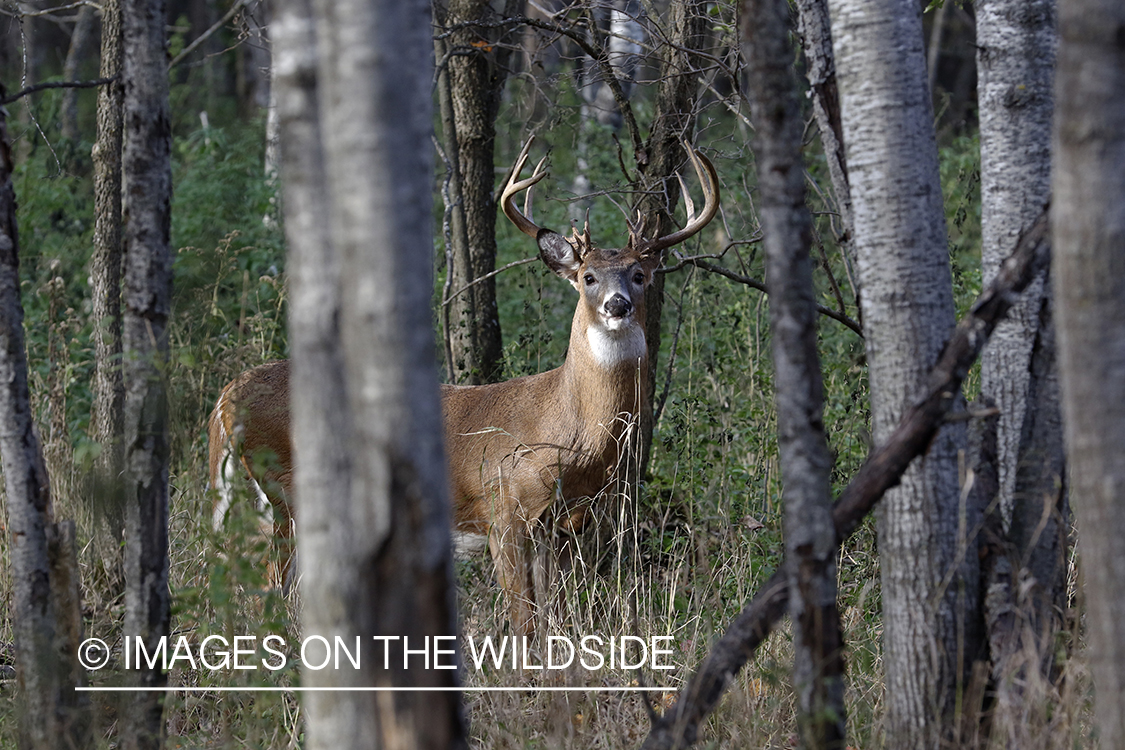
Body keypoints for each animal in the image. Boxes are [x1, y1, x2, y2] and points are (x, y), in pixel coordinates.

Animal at [209, 137, 720, 638]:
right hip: (281, 494)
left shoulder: (561, 525)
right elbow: (523, 622)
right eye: (588, 277)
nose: (618, 304)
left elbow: (552, 618)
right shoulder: (504, 509)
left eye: (639, 274)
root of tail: (225, 398)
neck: (571, 434)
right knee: (263, 588)